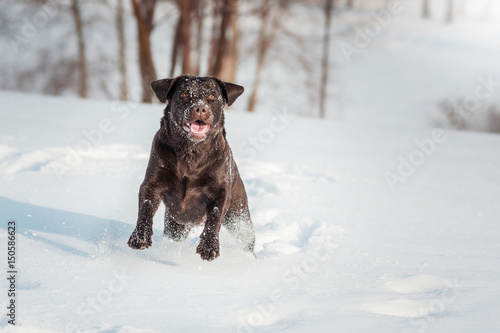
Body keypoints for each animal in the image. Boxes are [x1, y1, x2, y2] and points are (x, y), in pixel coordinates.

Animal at [127, 76, 256, 260]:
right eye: (184, 93)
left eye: (212, 96)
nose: (200, 108)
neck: (191, 153)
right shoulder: (152, 183)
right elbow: (145, 208)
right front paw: (140, 237)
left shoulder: (220, 192)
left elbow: (214, 217)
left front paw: (209, 247)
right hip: (175, 225)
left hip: (239, 218)